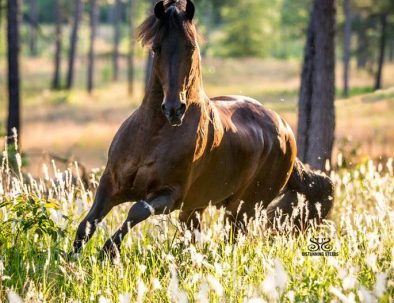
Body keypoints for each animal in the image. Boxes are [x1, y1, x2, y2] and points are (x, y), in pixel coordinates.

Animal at [69, 0, 334, 262]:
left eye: (190, 46)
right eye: (156, 48)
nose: (174, 109)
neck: (152, 135)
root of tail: (285, 130)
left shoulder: (171, 196)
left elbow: (137, 210)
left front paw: (108, 251)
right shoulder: (110, 182)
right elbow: (88, 223)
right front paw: (72, 258)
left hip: (243, 208)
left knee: (232, 239)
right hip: (197, 206)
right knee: (194, 237)